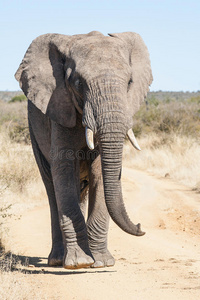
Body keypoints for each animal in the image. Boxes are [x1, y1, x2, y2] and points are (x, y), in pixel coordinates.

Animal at [14, 30, 152, 270]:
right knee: (52, 188)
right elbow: (64, 170)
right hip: (33, 131)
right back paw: (57, 260)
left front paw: (103, 263)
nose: (140, 227)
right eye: (78, 82)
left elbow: (99, 172)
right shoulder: (58, 107)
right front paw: (79, 263)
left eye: (129, 82)